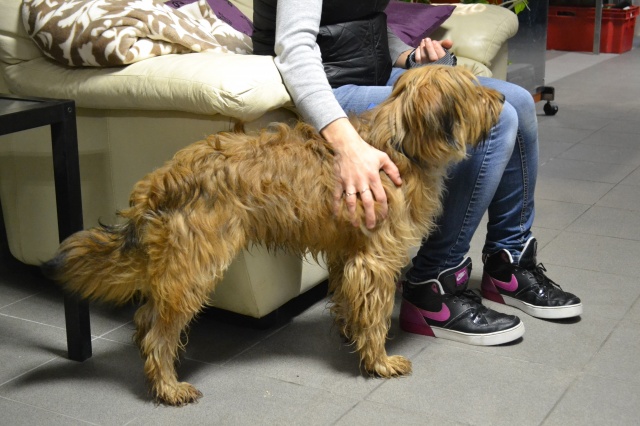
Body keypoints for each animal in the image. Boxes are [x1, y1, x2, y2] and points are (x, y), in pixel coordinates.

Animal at [43, 65, 504, 406]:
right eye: (473, 89)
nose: (500, 99)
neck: (400, 143)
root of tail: (161, 181)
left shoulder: (347, 252)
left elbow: (349, 299)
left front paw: (350, 334)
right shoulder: (375, 260)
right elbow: (373, 316)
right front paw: (379, 361)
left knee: (145, 319)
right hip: (196, 266)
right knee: (158, 330)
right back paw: (168, 386)